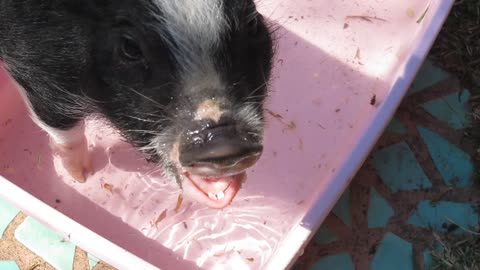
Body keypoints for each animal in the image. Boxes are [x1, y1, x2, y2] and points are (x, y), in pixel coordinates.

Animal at [0, 0, 274, 209]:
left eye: (252, 22)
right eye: (129, 47)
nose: (223, 138)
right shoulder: (36, 68)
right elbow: (63, 128)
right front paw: (81, 176)